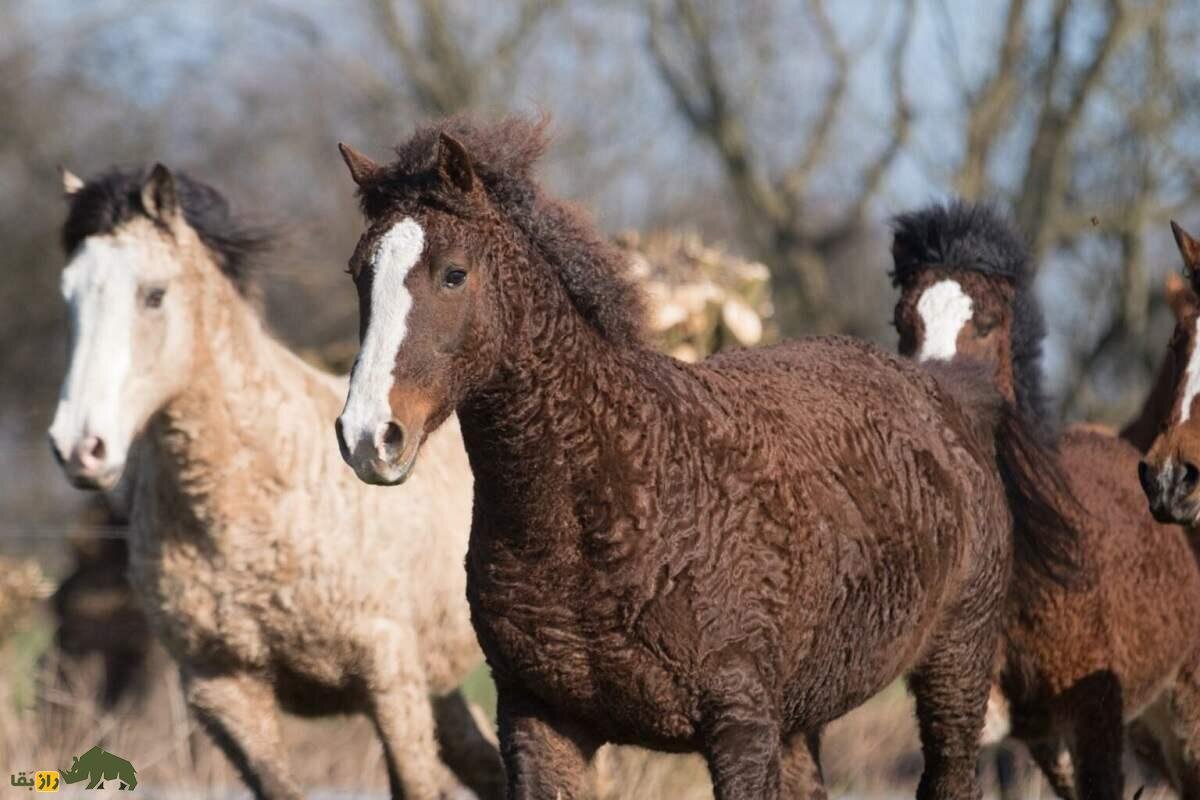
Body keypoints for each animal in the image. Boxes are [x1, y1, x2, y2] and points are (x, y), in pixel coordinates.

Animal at [333, 118, 1075, 800]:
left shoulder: (739, 728)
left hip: (956, 667)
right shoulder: (537, 719)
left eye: (453, 274)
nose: (369, 435)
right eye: (358, 273)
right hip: (804, 719)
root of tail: (947, 393)